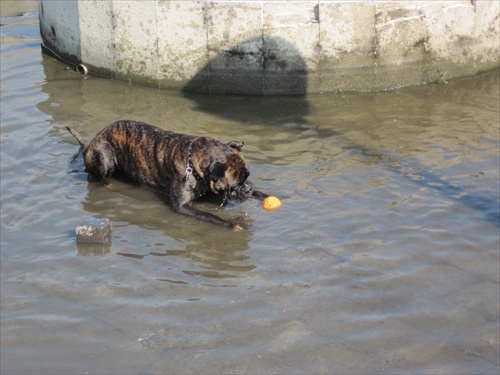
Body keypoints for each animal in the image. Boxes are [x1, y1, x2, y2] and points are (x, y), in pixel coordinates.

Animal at [67, 122, 270, 231]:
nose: (248, 187)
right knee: (95, 175)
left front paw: (264, 194)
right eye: (237, 183)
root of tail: (90, 143)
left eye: (248, 177)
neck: (193, 163)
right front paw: (233, 223)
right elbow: (211, 216)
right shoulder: (180, 206)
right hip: (104, 158)